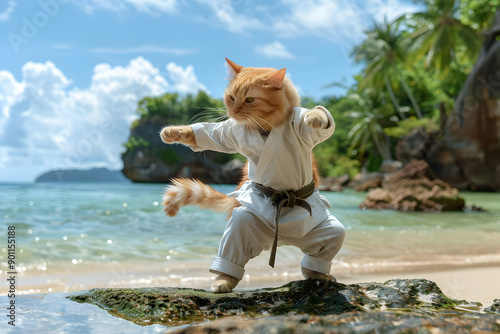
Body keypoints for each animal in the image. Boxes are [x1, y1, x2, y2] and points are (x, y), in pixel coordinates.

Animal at [160, 58, 344, 294]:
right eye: (231, 98)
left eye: (249, 100)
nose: (234, 110)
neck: (265, 126)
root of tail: (282, 239)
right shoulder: (229, 132)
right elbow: (207, 133)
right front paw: (175, 132)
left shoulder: (303, 130)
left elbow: (319, 118)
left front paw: (314, 116)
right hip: (244, 224)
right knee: (233, 250)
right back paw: (224, 280)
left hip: (326, 231)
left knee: (324, 247)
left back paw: (318, 274)